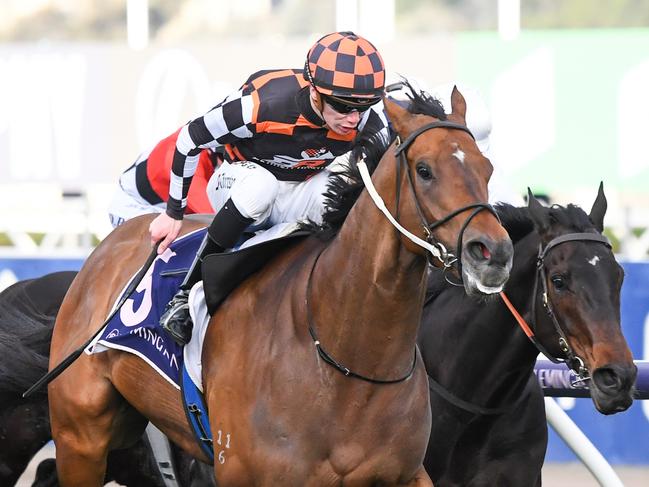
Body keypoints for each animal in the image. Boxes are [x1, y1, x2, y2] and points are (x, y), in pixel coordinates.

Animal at [46, 88, 512, 487]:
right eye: (424, 170)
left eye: (486, 168)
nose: (493, 252)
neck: (348, 362)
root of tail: (109, 246)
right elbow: (195, 136)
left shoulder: (404, 473)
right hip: (80, 438)